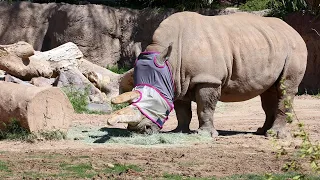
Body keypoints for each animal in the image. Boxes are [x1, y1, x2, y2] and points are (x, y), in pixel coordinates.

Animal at [107, 11, 308, 138]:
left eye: (154, 102)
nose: (140, 131)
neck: (170, 62)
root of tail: (293, 30)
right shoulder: (178, 80)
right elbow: (182, 110)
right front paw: (179, 132)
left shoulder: (207, 79)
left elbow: (205, 107)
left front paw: (205, 134)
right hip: (270, 43)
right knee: (269, 92)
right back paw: (262, 131)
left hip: (294, 47)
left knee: (285, 87)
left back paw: (275, 135)